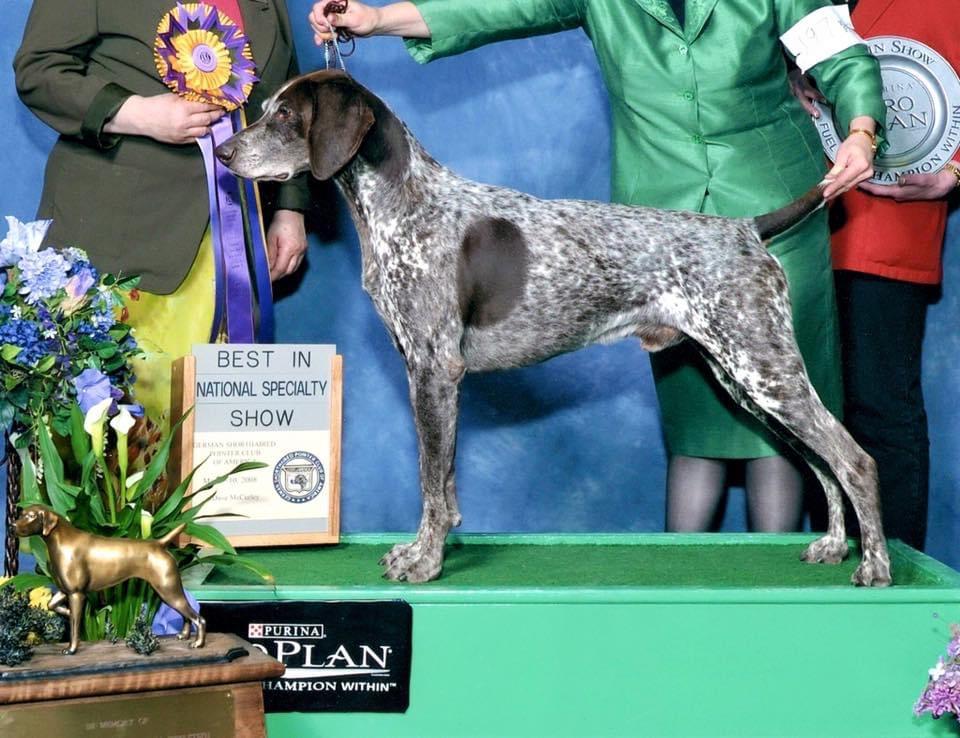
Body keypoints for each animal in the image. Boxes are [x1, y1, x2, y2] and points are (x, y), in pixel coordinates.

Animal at [218, 69, 892, 588]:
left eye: (284, 116)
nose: (224, 153)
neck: (402, 202)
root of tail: (747, 229)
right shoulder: (431, 373)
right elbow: (446, 479)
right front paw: (432, 547)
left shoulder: (434, 370)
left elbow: (430, 480)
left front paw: (425, 562)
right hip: (747, 382)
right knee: (822, 462)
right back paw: (834, 546)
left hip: (764, 369)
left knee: (852, 459)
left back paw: (875, 567)